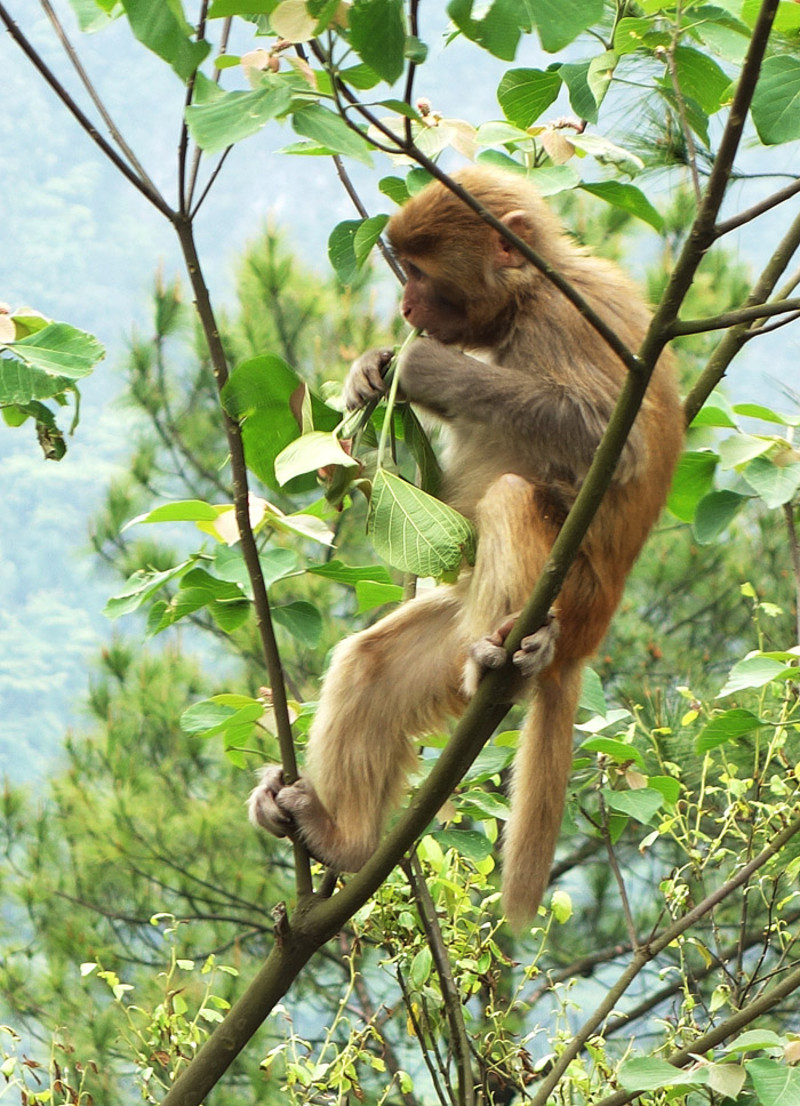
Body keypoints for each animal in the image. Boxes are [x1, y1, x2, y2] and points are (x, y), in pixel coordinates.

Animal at [248, 161, 681, 924]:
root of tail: (590, 633)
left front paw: (425, 373)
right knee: (369, 666)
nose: (406, 306)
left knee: (511, 498)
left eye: (422, 273)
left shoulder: (565, 322)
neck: (530, 294)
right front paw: (369, 371)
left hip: (571, 592)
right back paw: (343, 840)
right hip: (450, 630)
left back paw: (508, 663)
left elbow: (609, 437)